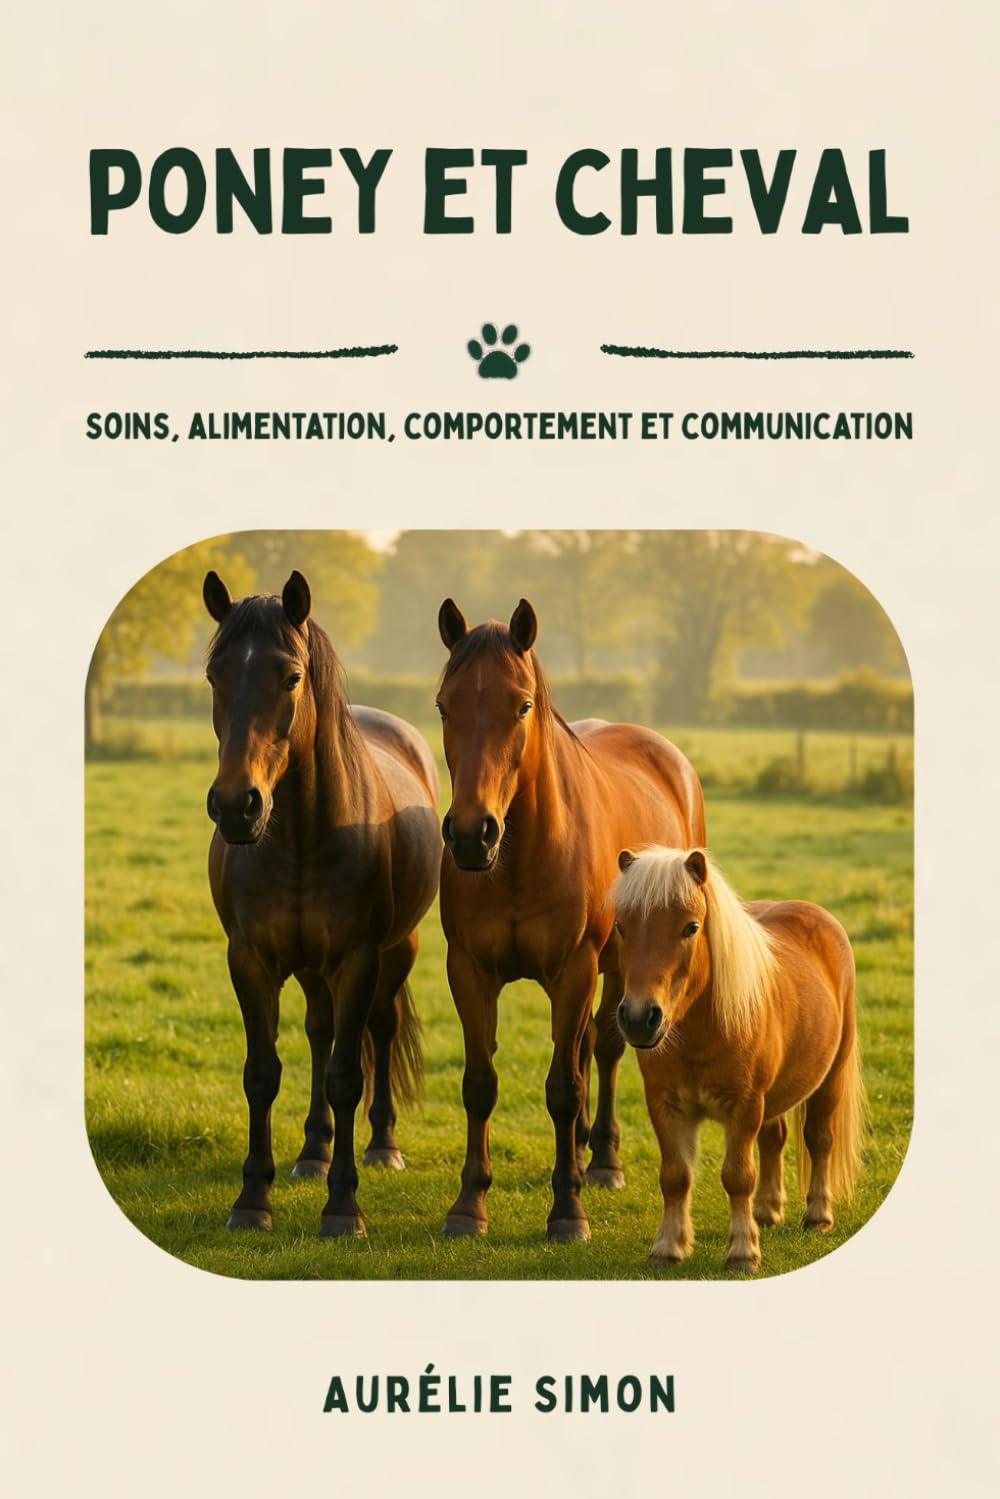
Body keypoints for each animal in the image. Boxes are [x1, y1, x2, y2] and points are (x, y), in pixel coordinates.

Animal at [202, 569, 440, 1237]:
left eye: (290, 676)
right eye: (214, 676)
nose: (237, 806)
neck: (300, 840)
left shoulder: (359, 959)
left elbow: (345, 1075)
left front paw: (343, 1207)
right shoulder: (249, 960)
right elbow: (262, 1073)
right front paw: (252, 1199)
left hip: (396, 952)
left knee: (377, 1031)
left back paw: (382, 1146)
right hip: (311, 968)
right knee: (319, 1030)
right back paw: (313, 1150)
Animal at [435, 598, 706, 1242]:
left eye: (522, 705)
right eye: (443, 705)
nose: (471, 833)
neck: (517, 859)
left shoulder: (575, 971)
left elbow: (564, 1086)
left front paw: (567, 1210)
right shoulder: (469, 972)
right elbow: (479, 1084)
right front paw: (468, 1204)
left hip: (621, 965)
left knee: (602, 1049)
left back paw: (601, 1159)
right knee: (585, 1048)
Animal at [611, 845, 867, 1271]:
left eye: (691, 927)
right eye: (620, 926)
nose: (638, 1017)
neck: (699, 1033)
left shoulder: (745, 1106)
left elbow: (737, 1176)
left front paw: (743, 1251)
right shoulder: (665, 1105)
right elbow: (675, 1176)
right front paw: (668, 1247)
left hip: (830, 1077)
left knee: (819, 1140)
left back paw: (817, 1215)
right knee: (774, 1140)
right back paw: (766, 1210)